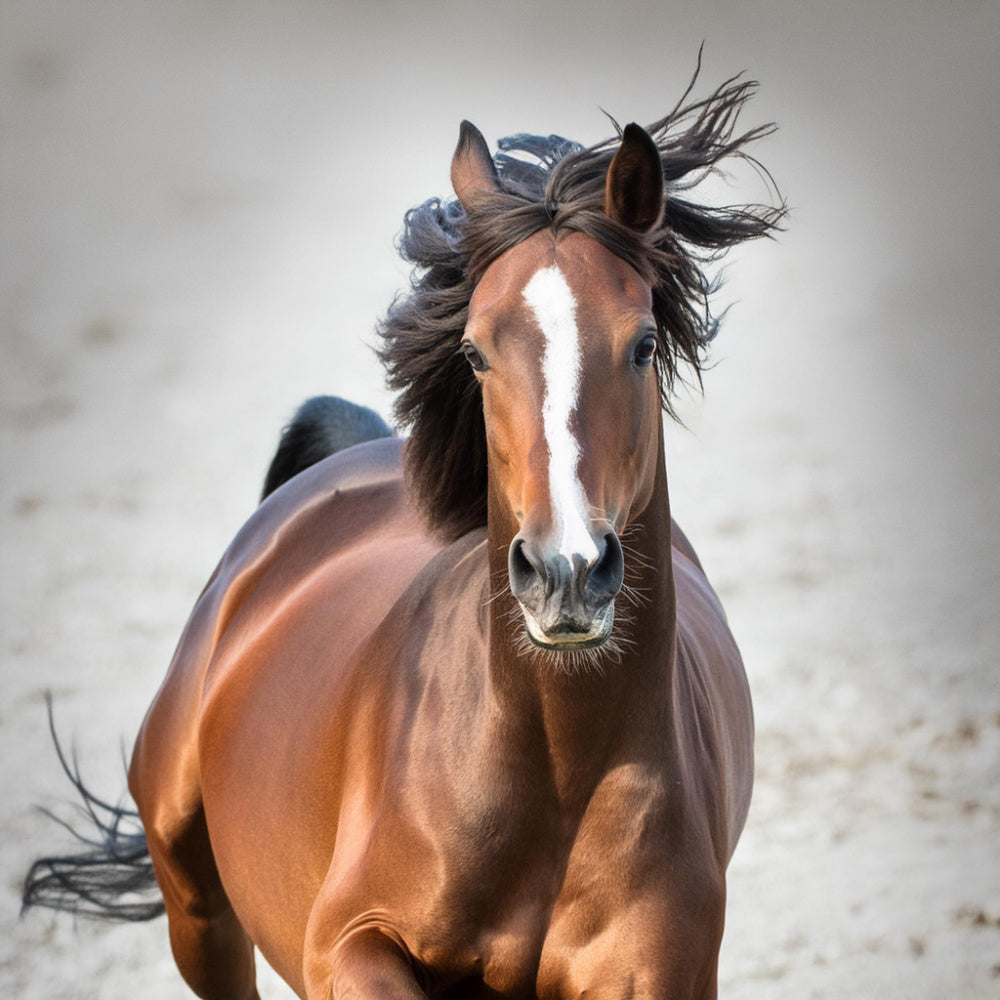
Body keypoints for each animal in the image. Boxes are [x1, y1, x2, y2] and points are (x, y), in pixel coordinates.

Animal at [21, 72, 780, 1000]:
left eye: (641, 345)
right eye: (476, 351)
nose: (565, 572)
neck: (553, 769)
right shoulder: (345, 942)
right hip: (195, 902)